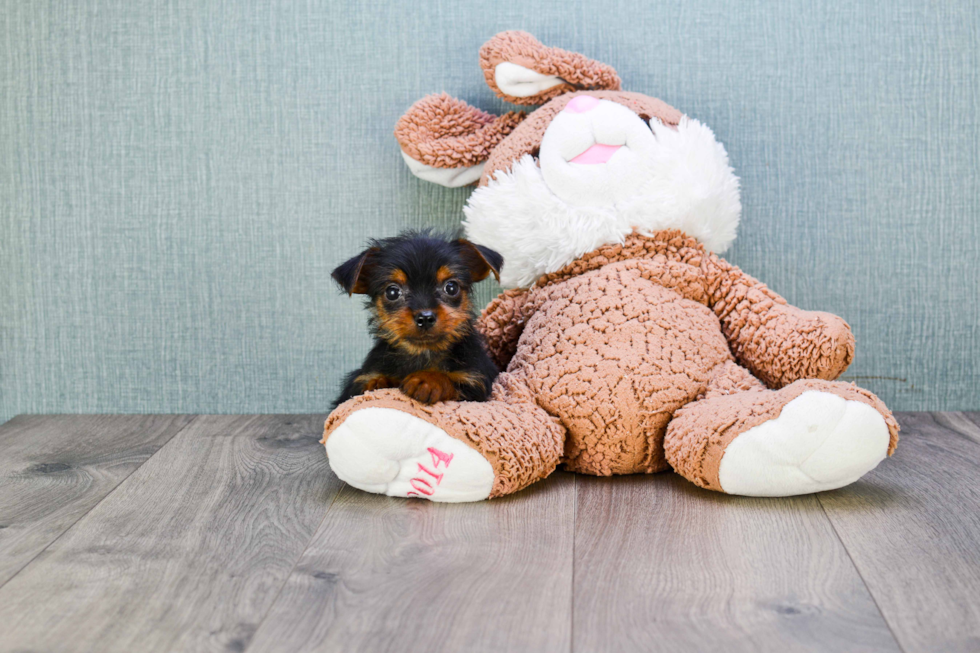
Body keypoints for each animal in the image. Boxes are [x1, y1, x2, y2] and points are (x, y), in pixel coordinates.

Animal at [334, 232, 506, 408]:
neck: (423, 352)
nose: (425, 317)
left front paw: (428, 379)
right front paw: (377, 383)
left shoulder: (476, 382)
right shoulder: (354, 385)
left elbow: (450, 379)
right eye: (392, 292)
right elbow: (365, 384)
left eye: (451, 287)